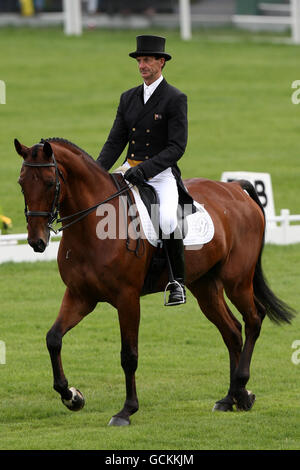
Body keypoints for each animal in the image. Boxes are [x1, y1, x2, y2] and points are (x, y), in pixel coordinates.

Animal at [15, 137, 294, 426]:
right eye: (22, 183)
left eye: (50, 182)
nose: (37, 241)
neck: (93, 226)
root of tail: (234, 188)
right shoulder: (80, 296)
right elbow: (53, 338)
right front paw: (72, 396)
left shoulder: (127, 298)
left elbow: (129, 355)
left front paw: (126, 410)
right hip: (205, 286)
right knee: (231, 331)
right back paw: (231, 398)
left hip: (237, 280)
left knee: (253, 319)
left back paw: (241, 388)